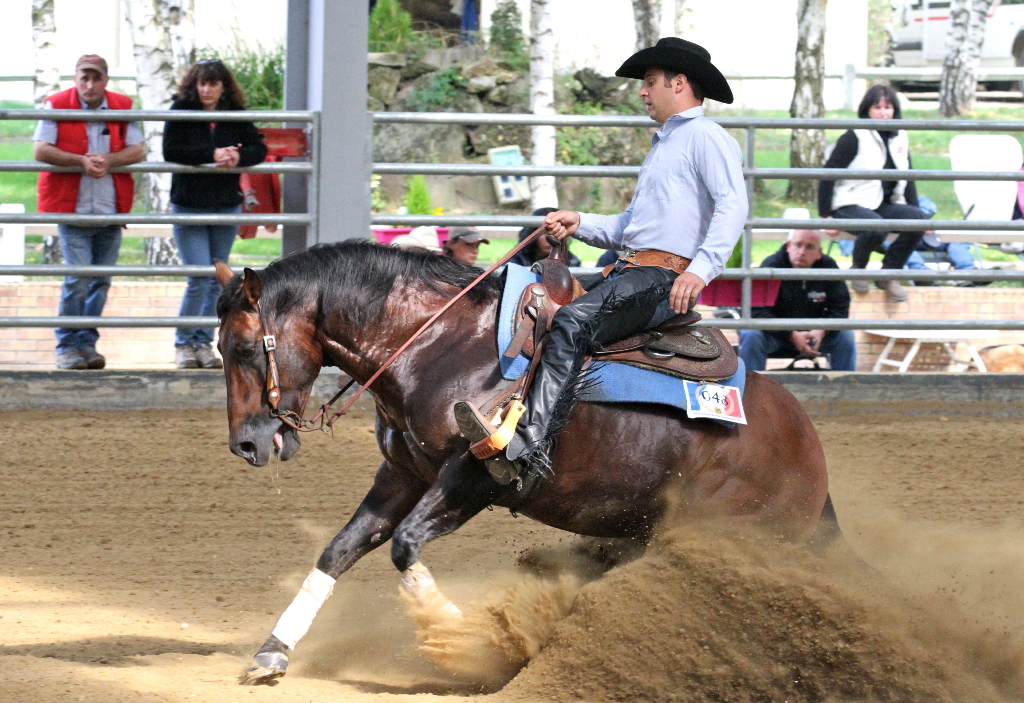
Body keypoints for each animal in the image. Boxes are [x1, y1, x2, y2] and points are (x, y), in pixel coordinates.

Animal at [218, 243, 831, 687]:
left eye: (246, 348)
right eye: (220, 348)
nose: (244, 445)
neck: (440, 347)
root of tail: (810, 451)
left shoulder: (473, 478)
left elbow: (405, 546)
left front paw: (466, 641)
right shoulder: (403, 475)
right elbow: (337, 552)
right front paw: (273, 652)